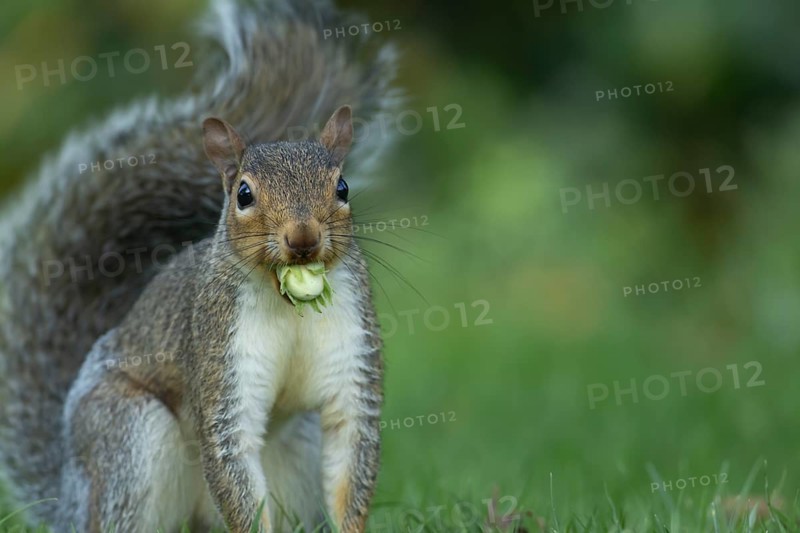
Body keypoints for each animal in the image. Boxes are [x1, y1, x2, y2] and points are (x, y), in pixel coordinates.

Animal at [0, 0, 397, 531]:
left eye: (343, 187)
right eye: (243, 195)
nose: (303, 240)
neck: (287, 302)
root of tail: (70, 498)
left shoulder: (349, 358)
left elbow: (351, 457)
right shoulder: (217, 356)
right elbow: (232, 459)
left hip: (296, 448)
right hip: (126, 438)